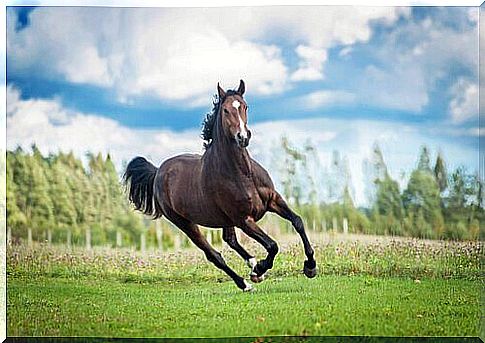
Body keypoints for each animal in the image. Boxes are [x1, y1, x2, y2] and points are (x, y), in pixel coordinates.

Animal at [123, 80, 316, 292]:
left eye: (245, 106)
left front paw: (310, 267)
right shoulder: (244, 219)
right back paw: (246, 282)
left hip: (223, 219)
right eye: (225, 110)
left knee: (229, 240)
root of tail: (158, 172)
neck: (243, 174)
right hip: (185, 223)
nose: (243, 137)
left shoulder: (274, 200)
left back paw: (252, 265)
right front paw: (260, 269)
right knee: (214, 255)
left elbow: (298, 221)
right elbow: (272, 245)